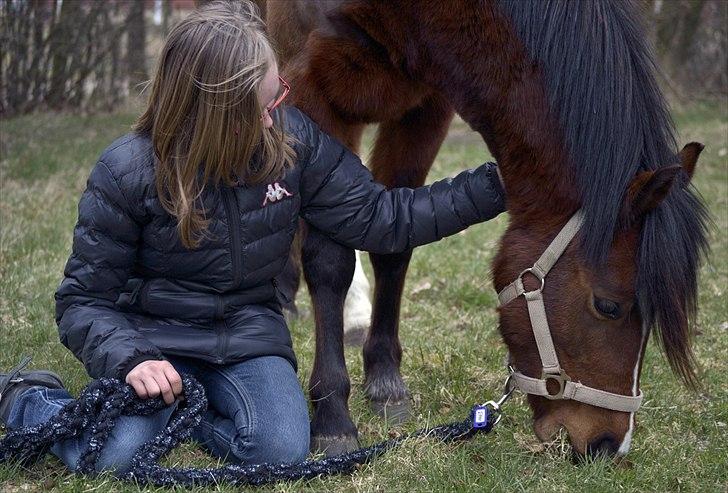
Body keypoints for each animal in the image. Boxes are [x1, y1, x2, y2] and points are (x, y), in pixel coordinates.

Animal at [265, 0, 709, 459]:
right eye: (608, 306)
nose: (609, 445)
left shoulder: (426, 109)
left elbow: (391, 238)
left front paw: (385, 380)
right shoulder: (313, 95)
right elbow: (330, 261)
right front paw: (333, 414)